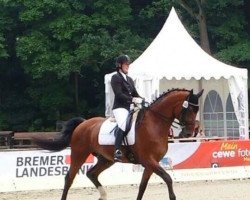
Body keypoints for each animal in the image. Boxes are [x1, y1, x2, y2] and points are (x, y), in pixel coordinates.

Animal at [34, 89, 203, 200]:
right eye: (189, 109)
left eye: (197, 110)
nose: (188, 133)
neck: (154, 124)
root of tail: (83, 123)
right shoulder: (149, 160)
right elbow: (168, 178)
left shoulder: (151, 163)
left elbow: (142, 186)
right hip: (79, 154)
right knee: (69, 178)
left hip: (105, 159)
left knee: (91, 173)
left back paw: (103, 196)